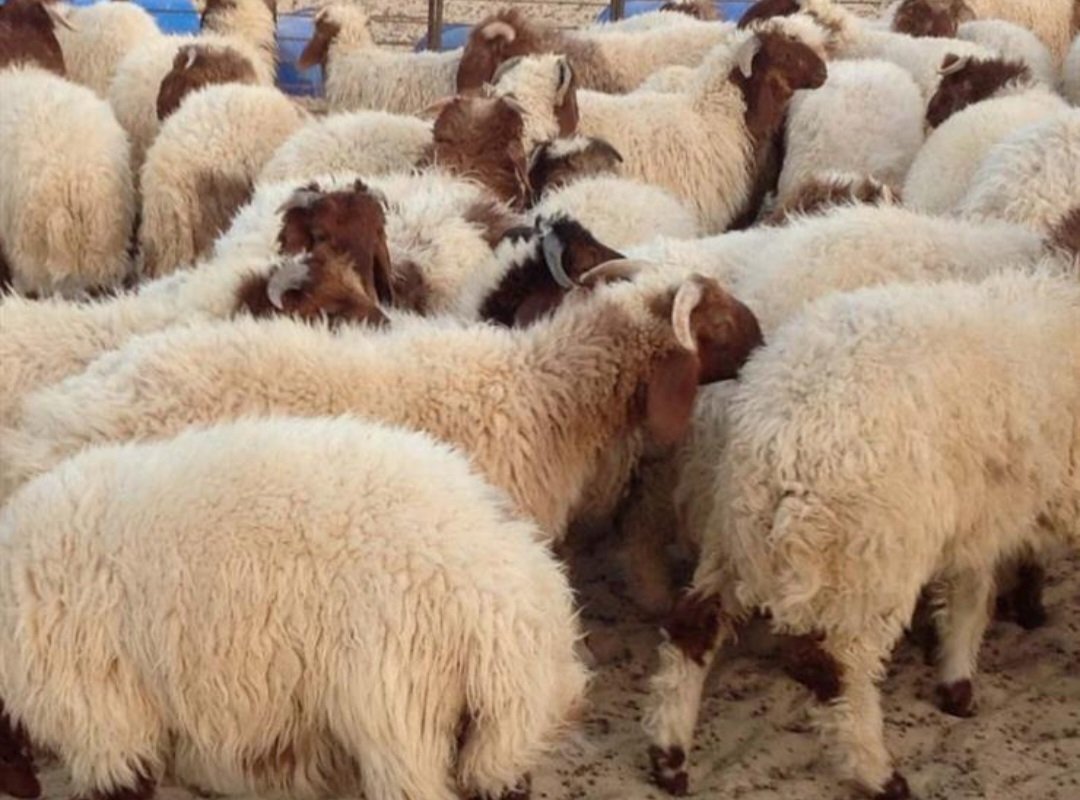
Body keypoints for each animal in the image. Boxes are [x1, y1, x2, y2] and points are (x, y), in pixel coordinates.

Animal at [643, 267, 1080, 799]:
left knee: (693, 629)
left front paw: (956, 683)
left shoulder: (978, 515)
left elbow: (970, 595)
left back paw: (669, 758)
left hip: (738, 535)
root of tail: (777, 434)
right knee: (836, 668)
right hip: (868, 555)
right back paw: (879, 773)